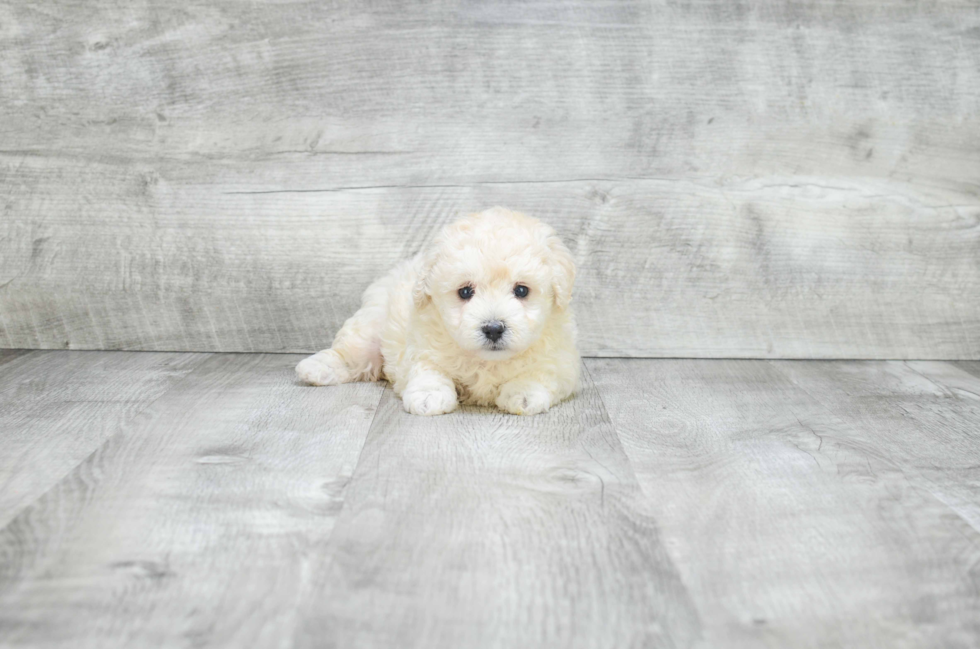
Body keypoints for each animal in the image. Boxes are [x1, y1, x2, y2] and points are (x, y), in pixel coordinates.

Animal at [294, 206, 580, 416]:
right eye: (465, 292)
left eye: (521, 290)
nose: (493, 328)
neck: (487, 360)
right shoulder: (422, 348)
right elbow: (429, 371)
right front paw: (429, 396)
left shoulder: (561, 361)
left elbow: (542, 372)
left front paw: (523, 393)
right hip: (371, 327)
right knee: (350, 354)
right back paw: (315, 367)